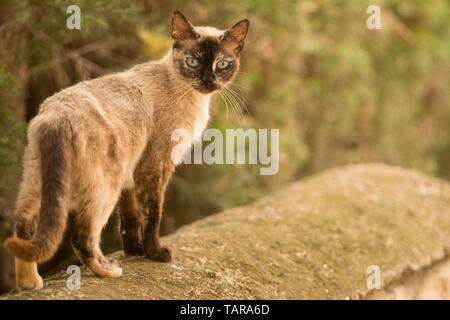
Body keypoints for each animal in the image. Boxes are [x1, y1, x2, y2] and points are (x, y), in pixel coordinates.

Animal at [4, 10, 250, 290]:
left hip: (36, 183)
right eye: (192, 62)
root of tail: (57, 115)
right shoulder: (155, 166)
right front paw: (156, 254)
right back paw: (109, 270)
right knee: (82, 236)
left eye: (222, 65)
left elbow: (130, 219)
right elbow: (152, 216)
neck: (191, 95)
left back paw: (31, 284)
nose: (208, 81)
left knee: (23, 228)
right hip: (105, 187)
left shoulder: (132, 174)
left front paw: (135, 251)